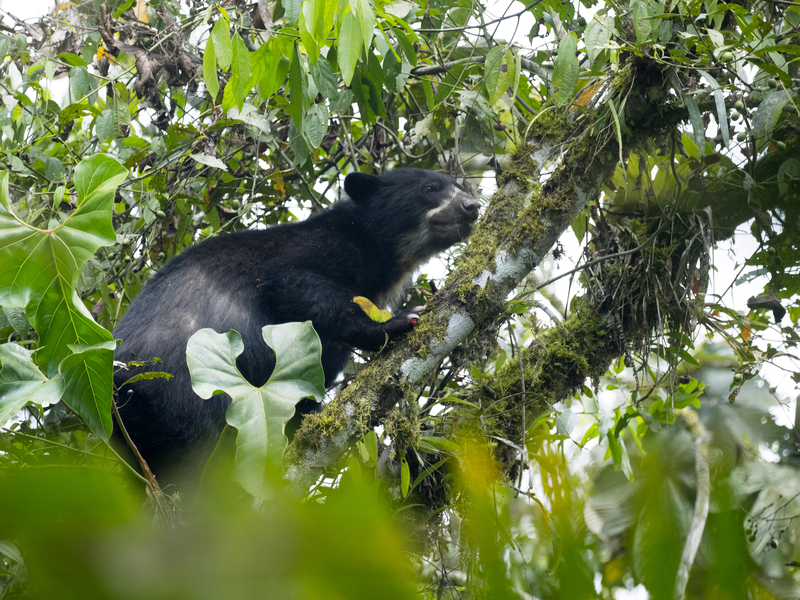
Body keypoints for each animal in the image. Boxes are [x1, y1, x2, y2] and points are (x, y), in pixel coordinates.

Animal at [111, 168, 476, 482]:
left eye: (459, 185)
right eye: (429, 188)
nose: (472, 206)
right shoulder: (318, 252)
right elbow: (293, 286)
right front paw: (398, 322)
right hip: (182, 394)